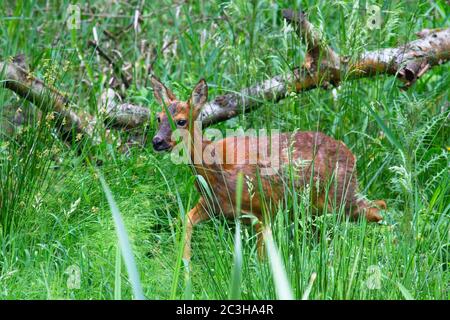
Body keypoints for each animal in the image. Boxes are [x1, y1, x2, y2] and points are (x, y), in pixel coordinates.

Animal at [149, 77, 384, 260]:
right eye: (158, 118)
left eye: (181, 121)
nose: (157, 141)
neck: (218, 171)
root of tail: (351, 155)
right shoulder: (211, 204)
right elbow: (186, 220)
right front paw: (185, 266)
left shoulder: (263, 209)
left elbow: (263, 258)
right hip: (319, 208)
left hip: (340, 197)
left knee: (378, 209)